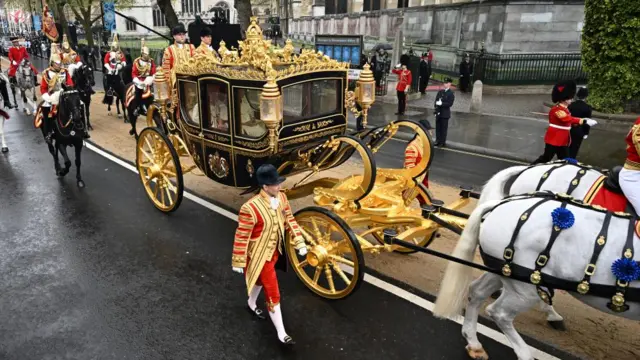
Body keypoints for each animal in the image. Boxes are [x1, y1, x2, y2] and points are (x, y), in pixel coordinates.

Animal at [432, 194, 636, 360]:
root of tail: (499, 204)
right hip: (526, 289)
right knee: (500, 313)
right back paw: (524, 353)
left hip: (505, 272)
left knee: (477, 291)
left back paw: (474, 343)